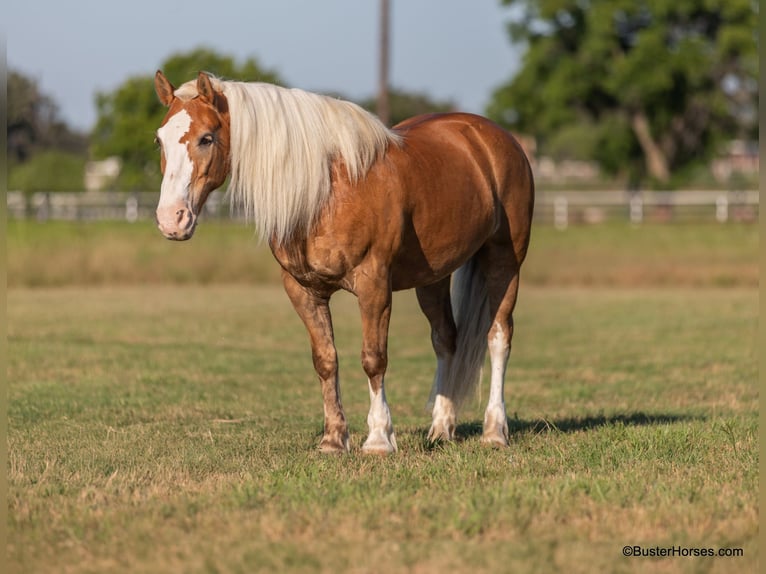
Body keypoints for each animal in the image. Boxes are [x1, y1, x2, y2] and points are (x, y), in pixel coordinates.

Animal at [153, 71, 534, 454]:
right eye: (159, 141)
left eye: (206, 138)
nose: (172, 219)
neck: (325, 190)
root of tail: (492, 136)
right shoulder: (304, 290)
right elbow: (325, 359)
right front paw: (333, 439)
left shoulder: (374, 285)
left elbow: (373, 358)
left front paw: (379, 438)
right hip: (433, 276)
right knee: (446, 339)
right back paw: (441, 428)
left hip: (505, 261)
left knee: (498, 336)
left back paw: (494, 431)